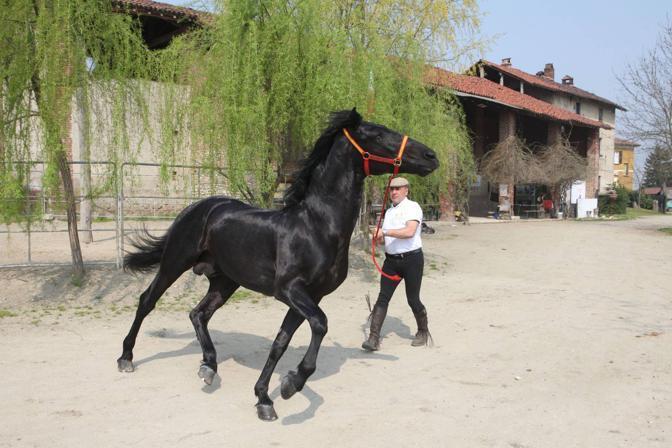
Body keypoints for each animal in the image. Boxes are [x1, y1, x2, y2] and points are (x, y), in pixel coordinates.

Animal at [118, 108, 438, 420]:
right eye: (379, 134)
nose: (431, 156)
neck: (316, 227)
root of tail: (199, 207)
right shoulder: (290, 291)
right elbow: (320, 324)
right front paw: (291, 383)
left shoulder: (309, 297)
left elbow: (280, 342)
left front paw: (264, 398)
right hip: (174, 263)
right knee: (147, 301)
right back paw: (126, 358)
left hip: (225, 281)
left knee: (199, 314)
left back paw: (209, 366)